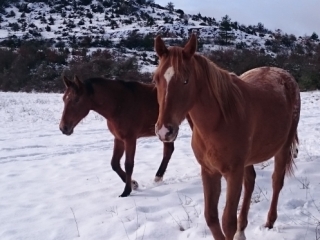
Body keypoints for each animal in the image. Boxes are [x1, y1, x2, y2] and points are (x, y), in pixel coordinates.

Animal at [60, 76, 194, 197]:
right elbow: (114, 163)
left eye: (76, 99)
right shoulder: (119, 139)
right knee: (168, 151)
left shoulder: (130, 139)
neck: (119, 103)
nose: (63, 128)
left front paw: (126, 191)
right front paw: (134, 184)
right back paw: (158, 176)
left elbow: (129, 164)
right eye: (64, 99)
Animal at [152, 34, 300, 240]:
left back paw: (269, 222)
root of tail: (285, 76)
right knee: (251, 182)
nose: (164, 131)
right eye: (156, 79)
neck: (218, 123)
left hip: (283, 148)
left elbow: (227, 221)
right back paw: (242, 229)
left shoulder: (233, 173)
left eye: (185, 81)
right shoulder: (209, 171)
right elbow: (211, 218)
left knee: (277, 181)